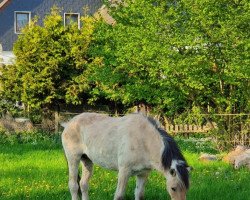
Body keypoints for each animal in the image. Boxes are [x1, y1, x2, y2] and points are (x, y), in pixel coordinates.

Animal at [61, 112, 190, 200]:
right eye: (173, 188)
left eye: (187, 188)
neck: (144, 139)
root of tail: (68, 123)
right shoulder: (124, 171)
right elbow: (119, 195)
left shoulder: (143, 174)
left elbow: (139, 194)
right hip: (73, 159)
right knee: (73, 185)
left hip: (87, 160)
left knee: (83, 184)